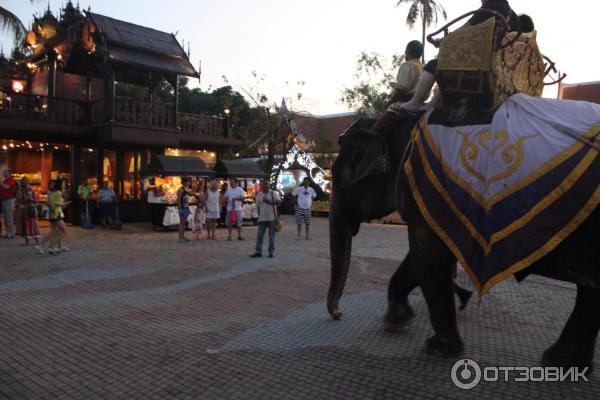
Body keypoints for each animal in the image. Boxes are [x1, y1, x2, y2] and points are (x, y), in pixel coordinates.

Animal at [328, 115, 600, 368]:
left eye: (338, 179)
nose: (339, 314)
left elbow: (426, 253)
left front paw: (436, 348)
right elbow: (423, 257)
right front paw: (396, 321)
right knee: (591, 294)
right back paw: (562, 362)